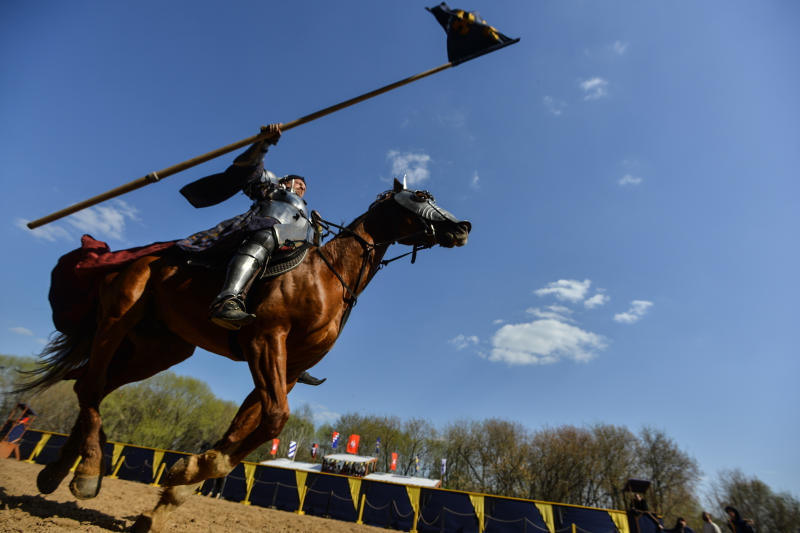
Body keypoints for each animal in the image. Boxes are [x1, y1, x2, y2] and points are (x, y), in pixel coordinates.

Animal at [21, 178, 468, 528]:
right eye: (422, 195)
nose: (462, 227)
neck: (326, 276)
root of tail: (133, 259)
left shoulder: (289, 369)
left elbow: (244, 429)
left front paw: (173, 492)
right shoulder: (266, 341)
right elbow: (274, 419)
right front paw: (185, 473)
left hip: (160, 350)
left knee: (91, 387)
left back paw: (62, 470)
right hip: (118, 318)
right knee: (90, 384)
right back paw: (86, 471)